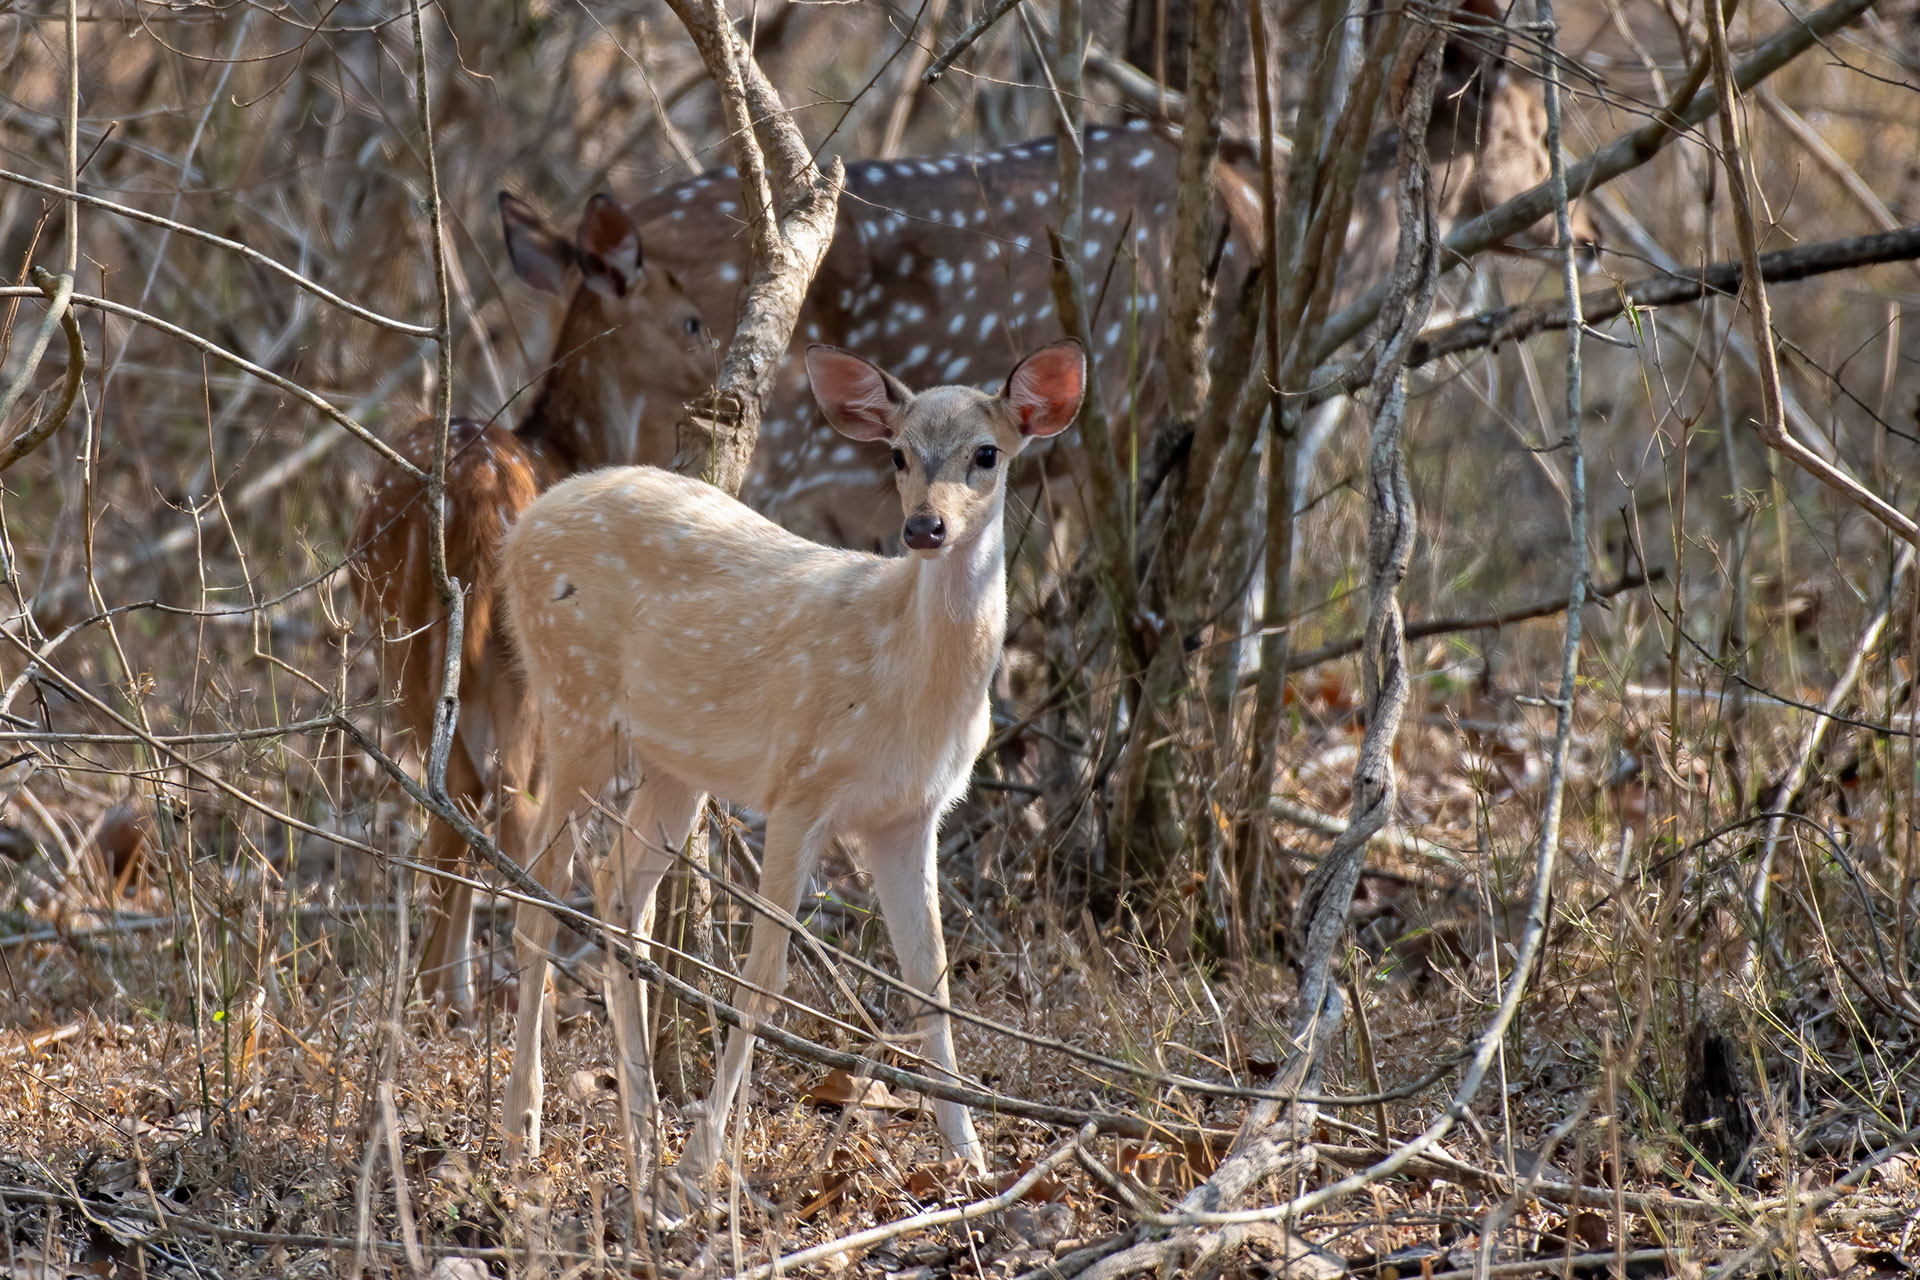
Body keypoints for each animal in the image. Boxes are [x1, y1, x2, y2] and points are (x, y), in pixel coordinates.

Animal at [494, 339, 1088, 1182]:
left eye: (987, 453)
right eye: (897, 453)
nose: (924, 526)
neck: (910, 686)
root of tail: (520, 530)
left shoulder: (910, 816)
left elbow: (931, 982)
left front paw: (970, 1159)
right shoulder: (800, 786)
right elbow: (762, 981)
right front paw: (703, 1161)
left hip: (674, 762)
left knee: (617, 886)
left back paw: (641, 1129)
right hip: (572, 703)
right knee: (536, 896)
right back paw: (526, 1129)